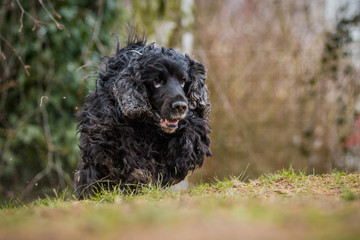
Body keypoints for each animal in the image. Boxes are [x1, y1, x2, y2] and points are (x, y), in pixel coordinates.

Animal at [75, 34, 211, 197]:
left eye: (183, 80)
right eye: (157, 81)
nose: (180, 106)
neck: (150, 125)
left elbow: (188, 140)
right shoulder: (108, 130)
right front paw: (140, 176)